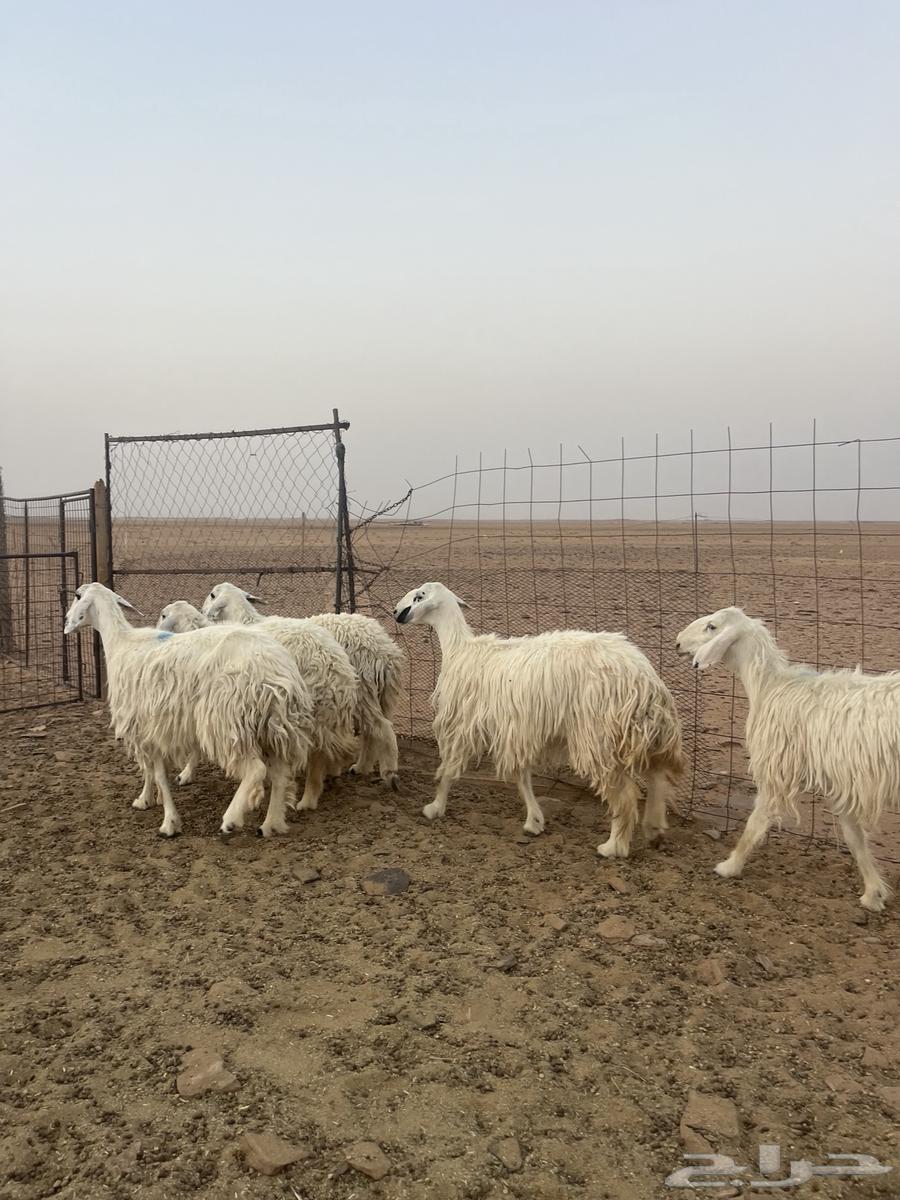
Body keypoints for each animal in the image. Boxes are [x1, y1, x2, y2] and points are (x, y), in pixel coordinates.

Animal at [64, 583, 313, 838]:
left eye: (76, 596)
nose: (65, 618)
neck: (122, 643)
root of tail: (273, 671)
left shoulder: (143, 726)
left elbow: (155, 773)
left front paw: (166, 819)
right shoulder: (153, 730)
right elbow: (154, 771)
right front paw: (149, 801)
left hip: (225, 721)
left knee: (256, 769)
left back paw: (231, 819)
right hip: (274, 726)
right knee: (280, 774)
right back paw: (271, 823)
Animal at [172, 589, 359, 811]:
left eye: (212, 595)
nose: (202, 609)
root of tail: (335, 667)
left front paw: (185, 774)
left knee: (318, 754)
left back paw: (308, 798)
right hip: (326, 714)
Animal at [201, 583, 404, 789]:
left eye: (212, 595)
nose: (202, 610)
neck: (246, 620)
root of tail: (386, 650)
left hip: (362, 690)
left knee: (381, 728)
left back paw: (389, 773)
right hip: (376, 695)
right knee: (371, 732)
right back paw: (361, 767)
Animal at [392, 582, 684, 856]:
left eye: (419, 596)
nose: (395, 612)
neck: (459, 649)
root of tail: (643, 677)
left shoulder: (465, 724)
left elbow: (449, 768)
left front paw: (435, 807)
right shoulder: (516, 729)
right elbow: (521, 776)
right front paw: (534, 821)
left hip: (598, 734)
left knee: (625, 794)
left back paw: (614, 847)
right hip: (639, 728)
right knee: (657, 775)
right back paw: (654, 829)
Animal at [676, 605, 900, 911]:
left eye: (712, 626)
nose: (677, 643)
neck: (770, 686)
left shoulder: (776, 769)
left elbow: (755, 823)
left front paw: (730, 866)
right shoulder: (841, 783)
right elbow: (855, 839)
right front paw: (873, 893)